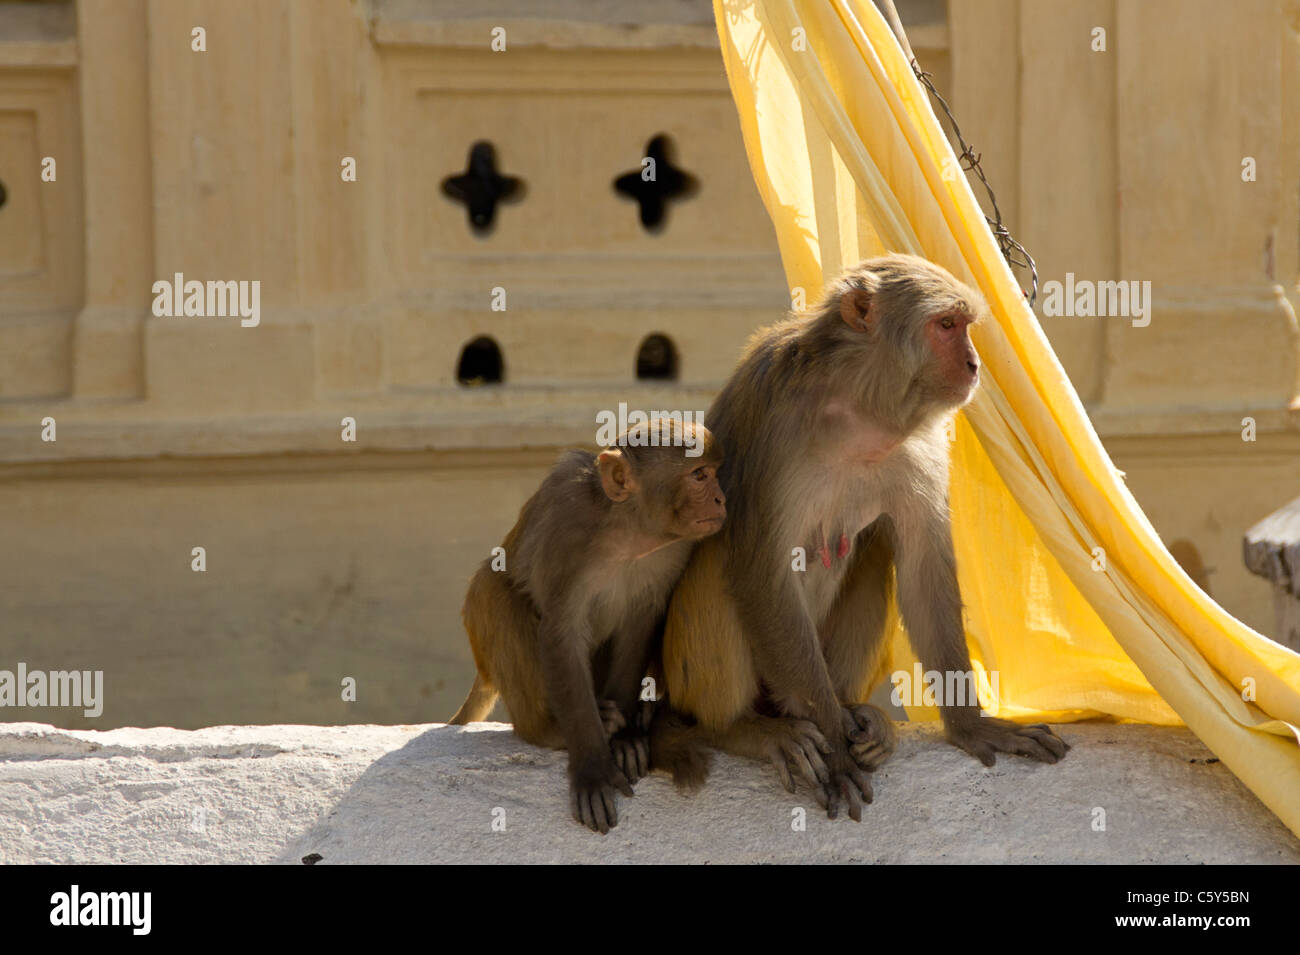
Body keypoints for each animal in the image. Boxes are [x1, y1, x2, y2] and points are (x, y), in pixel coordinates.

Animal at [452, 415, 728, 831]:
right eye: (699, 475)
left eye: (714, 472)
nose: (721, 499)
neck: (629, 532)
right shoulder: (566, 523)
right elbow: (560, 631)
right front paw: (592, 766)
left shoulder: (675, 548)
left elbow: (640, 622)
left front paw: (625, 739)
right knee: (493, 590)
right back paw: (547, 729)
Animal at [660, 255, 1066, 821]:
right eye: (946, 325)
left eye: (965, 326)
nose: (974, 365)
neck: (859, 403)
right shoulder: (775, 422)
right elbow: (764, 568)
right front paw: (833, 745)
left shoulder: (919, 443)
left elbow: (922, 566)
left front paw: (970, 724)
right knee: (724, 564)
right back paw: (742, 728)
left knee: (874, 552)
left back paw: (856, 713)